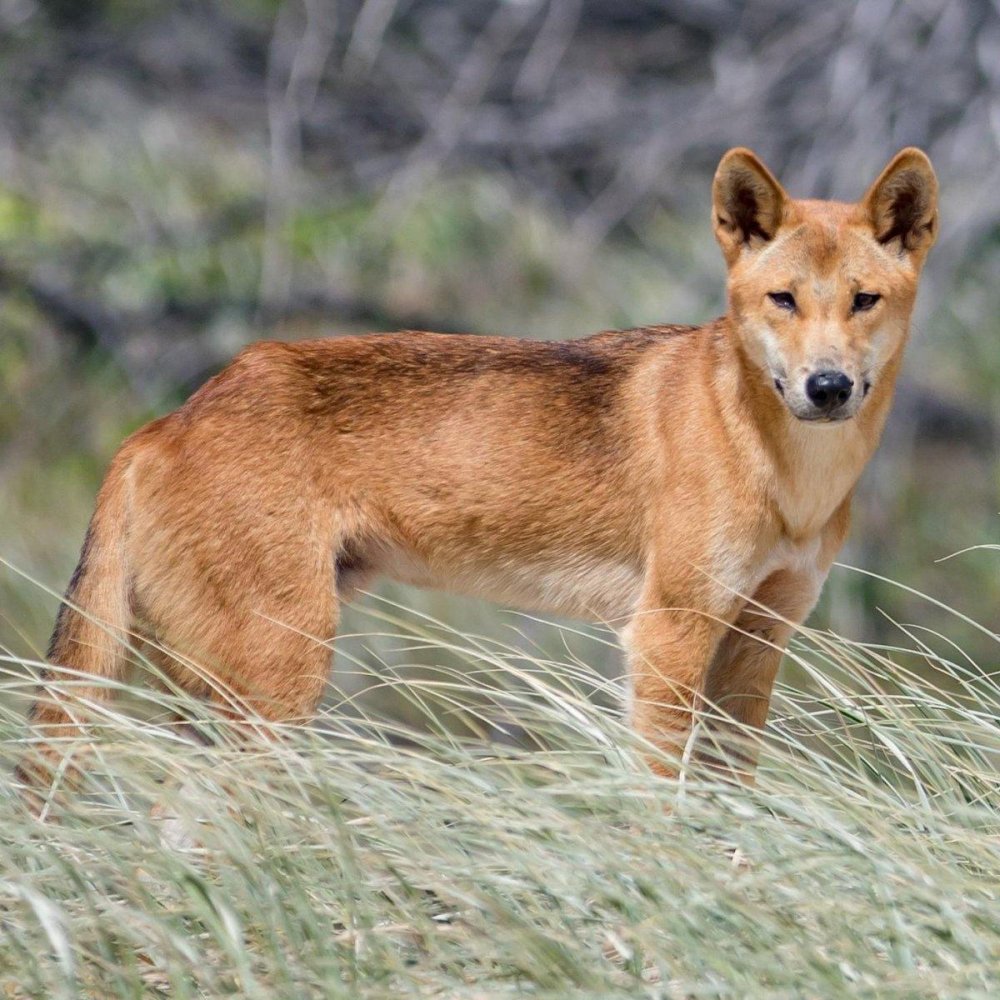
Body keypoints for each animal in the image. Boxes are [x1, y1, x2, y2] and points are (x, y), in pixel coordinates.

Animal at [17, 148, 936, 788]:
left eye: (864, 301)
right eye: (784, 300)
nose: (827, 387)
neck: (788, 476)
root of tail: (159, 424)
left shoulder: (758, 639)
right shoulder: (667, 634)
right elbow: (664, 797)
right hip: (280, 678)